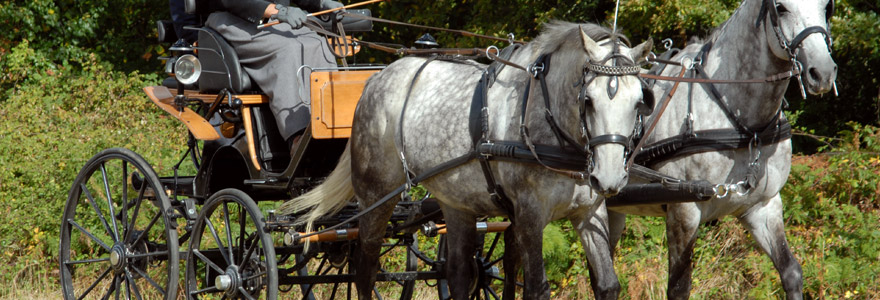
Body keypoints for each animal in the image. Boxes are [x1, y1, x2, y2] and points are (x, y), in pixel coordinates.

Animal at [282, 22, 652, 298]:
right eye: (587, 100)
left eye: (639, 101)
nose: (609, 178)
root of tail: (376, 78)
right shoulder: (530, 215)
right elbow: (536, 288)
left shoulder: (589, 213)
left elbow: (607, 285)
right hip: (376, 197)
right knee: (364, 269)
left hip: (455, 203)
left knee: (459, 274)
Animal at [608, 0, 836, 298]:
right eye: (781, 8)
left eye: (827, 7)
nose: (823, 72)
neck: (745, 126)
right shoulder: (683, 213)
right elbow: (679, 288)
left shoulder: (763, 206)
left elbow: (791, 272)